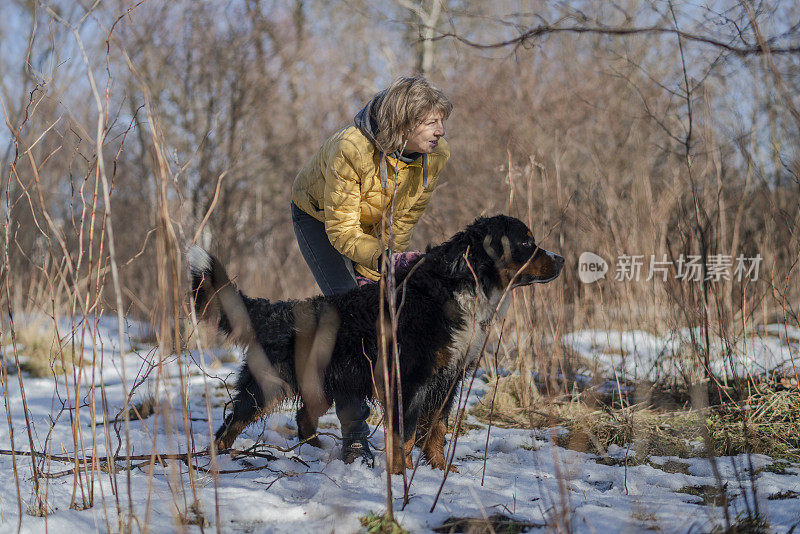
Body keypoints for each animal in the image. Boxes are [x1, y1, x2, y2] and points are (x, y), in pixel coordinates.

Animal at [189, 216, 564, 476]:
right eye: (526, 241)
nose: (561, 259)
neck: (459, 286)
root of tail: (274, 310)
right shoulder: (409, 380)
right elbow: (406, 435)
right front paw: (402, 475)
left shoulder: (449, 378)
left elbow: (437, 428)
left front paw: (440, 469)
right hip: (268, 386)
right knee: (230, 425)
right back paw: (217, 461)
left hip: (322, 385)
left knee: (303, 417)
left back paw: (316, 452)